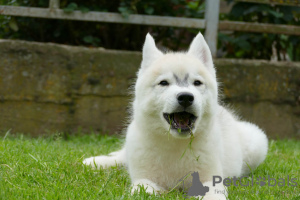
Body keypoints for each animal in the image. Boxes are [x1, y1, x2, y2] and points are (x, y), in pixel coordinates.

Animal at [82, 32, 268, 199]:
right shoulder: (143, 179)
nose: (185, 97)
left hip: (257, 143)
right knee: (121, 156)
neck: (175, 144)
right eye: (164, 83)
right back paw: (96, 162)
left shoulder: (210, 179)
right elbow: (143, 190)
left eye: (197, 83)